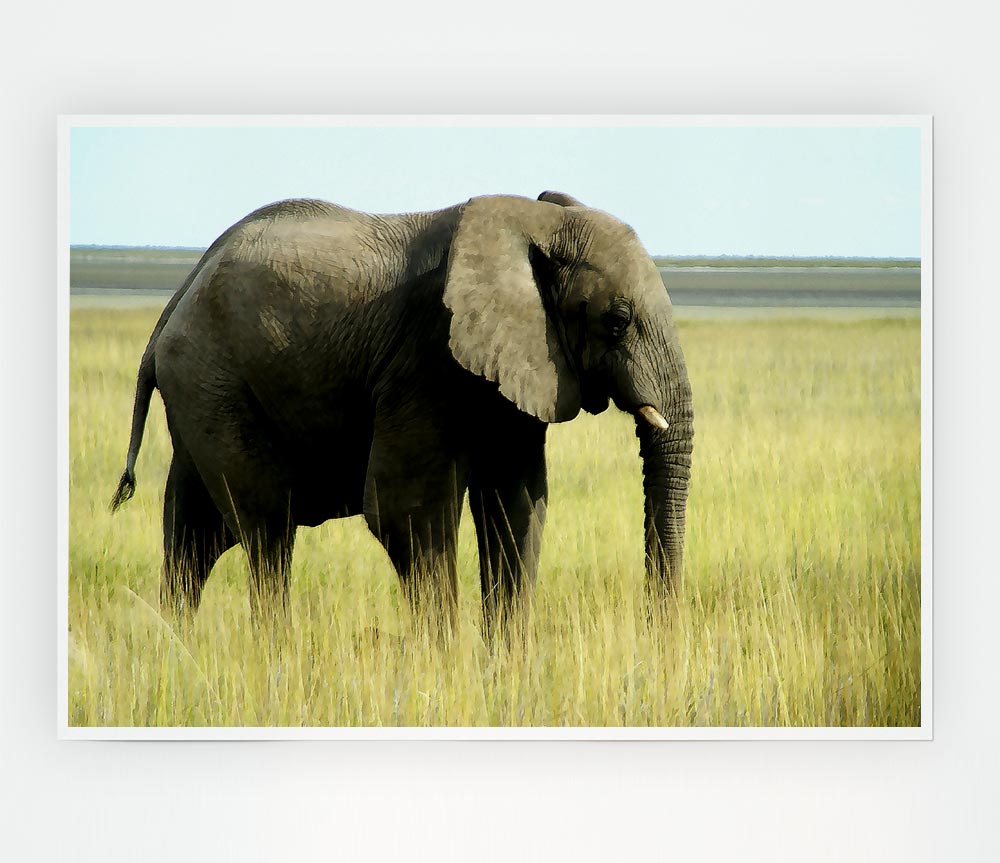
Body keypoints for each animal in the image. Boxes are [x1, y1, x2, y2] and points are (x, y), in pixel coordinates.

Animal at [110, 191, 694, 635]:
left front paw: (504, 669)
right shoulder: (426, 355)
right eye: (616, 321)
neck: (534, 220)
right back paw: (273, 654)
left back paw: (178, 650)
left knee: (194, 535)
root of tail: (177, 297)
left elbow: (518, 504)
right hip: (213, 383)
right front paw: (448, 669)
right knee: (266, 531)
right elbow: (407, 513)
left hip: (203, 393)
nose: (656, 630)